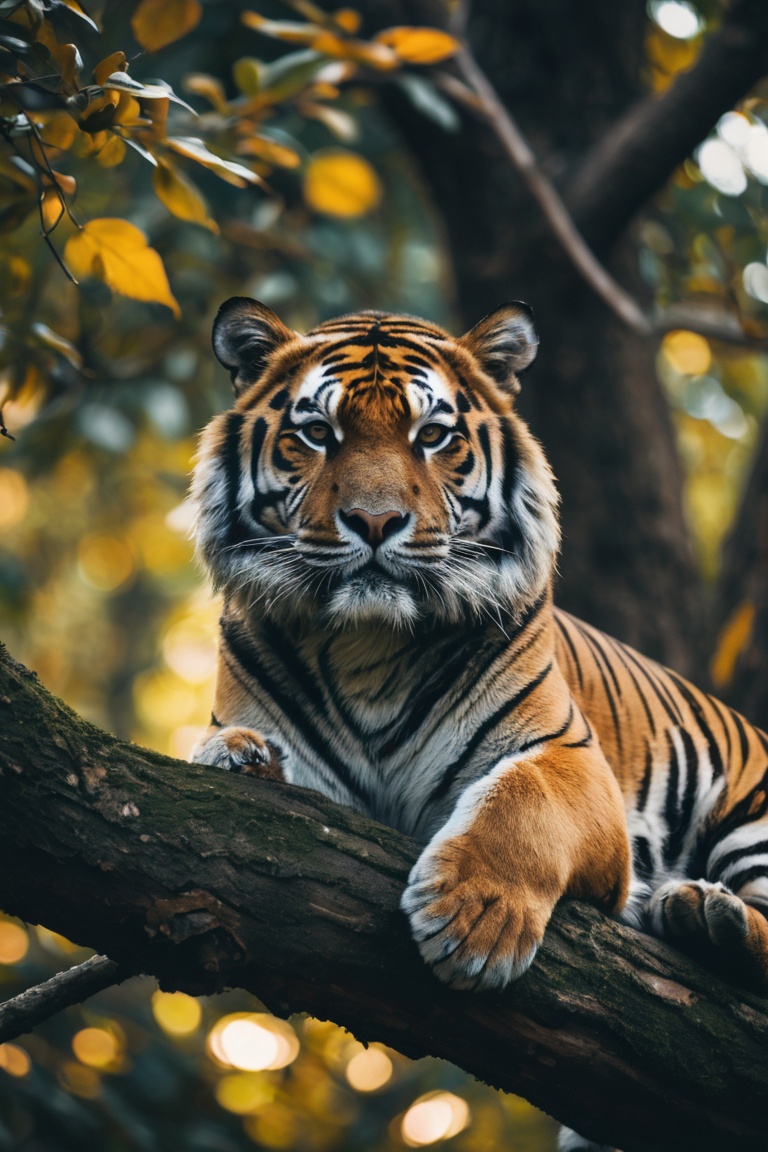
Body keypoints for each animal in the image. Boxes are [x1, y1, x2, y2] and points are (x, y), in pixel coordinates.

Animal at [191, 296, 768, 1012]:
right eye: (319, 433)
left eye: (433, 436)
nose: (375, 521)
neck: (368, 642)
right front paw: (240, 756)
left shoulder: (572, 758)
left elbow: (523, 799)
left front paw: (473, 923)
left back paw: (709, 914)